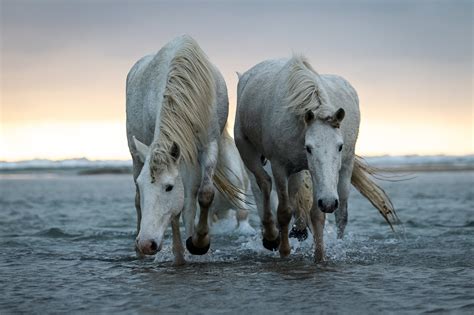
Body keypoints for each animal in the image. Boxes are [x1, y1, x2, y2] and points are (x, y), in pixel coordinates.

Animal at [126, 35, 241, 266]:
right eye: (143, 185)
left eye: (169, 187)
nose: (145, 243)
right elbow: (174, 212)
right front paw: (180, 254)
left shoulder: (208, 146)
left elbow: (203, 194)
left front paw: (199, 243)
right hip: (135, 153)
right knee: (138, 201)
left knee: (190, 201)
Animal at [236, 55, 396, 262]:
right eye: (309, 148)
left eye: (340, 146)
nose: (329, 202)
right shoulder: (280, 166)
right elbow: (284, 211)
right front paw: (284, 251)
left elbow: (317, 214)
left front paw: (320, 256)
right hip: (246, 148)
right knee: (264, 182)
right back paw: (271, 237)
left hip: (341, 169)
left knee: (338, 212)